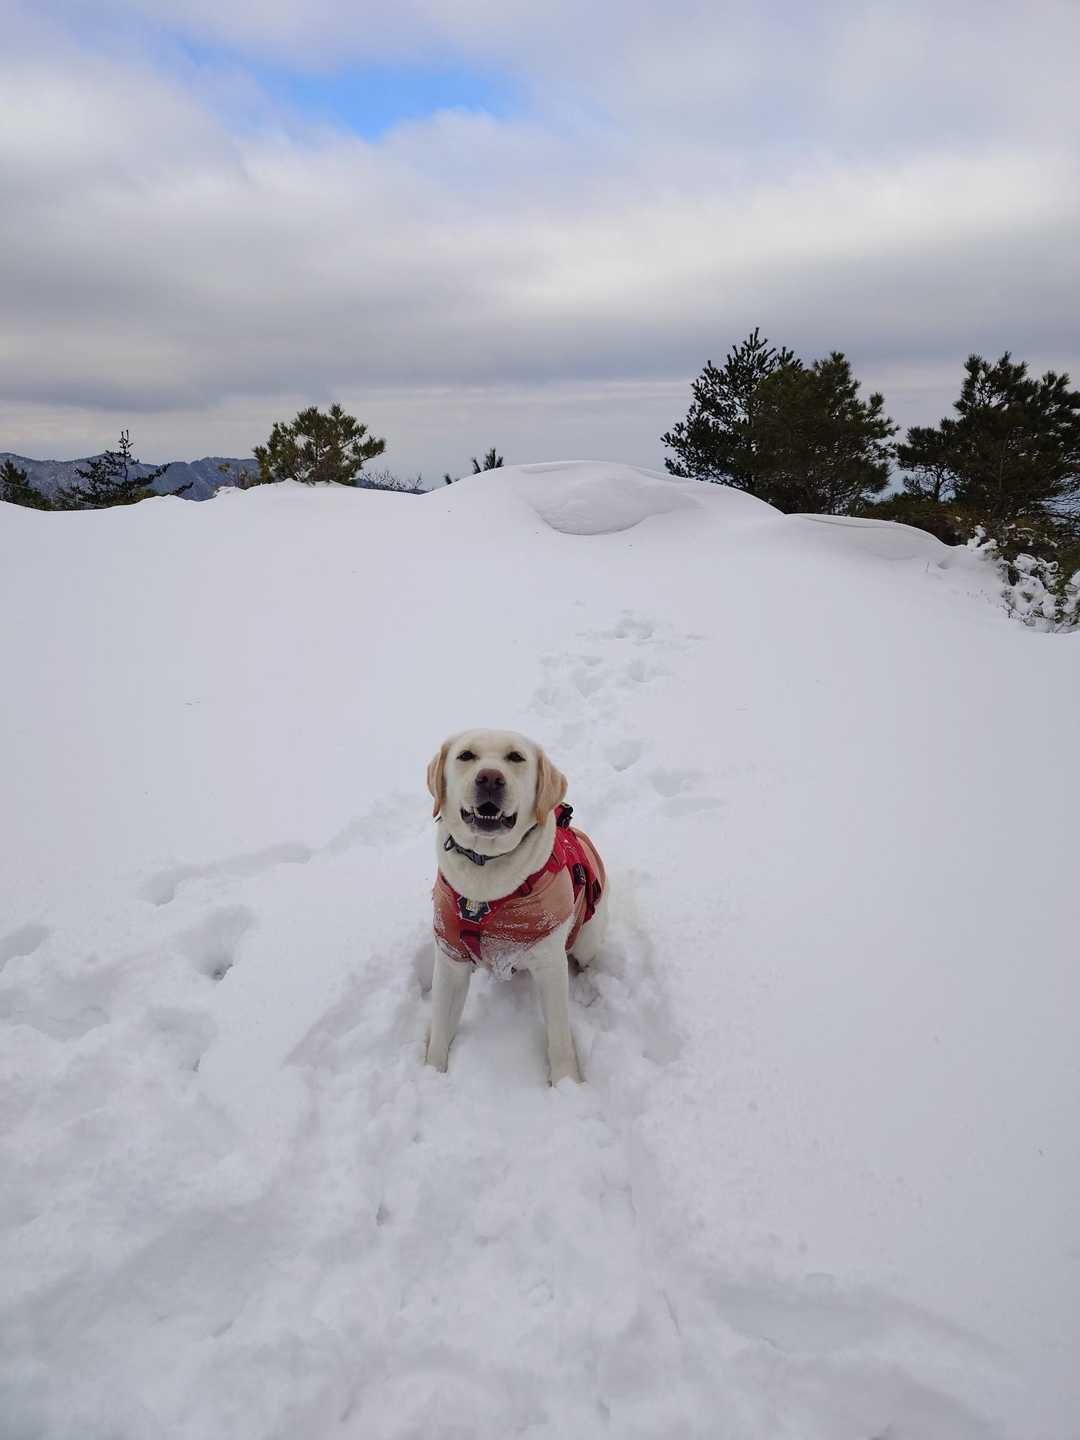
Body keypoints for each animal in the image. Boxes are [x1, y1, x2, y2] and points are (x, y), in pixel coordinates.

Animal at [425, 728, 608, 1084]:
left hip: (589, 939)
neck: (486, 872)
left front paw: (566, 1083)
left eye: (516, 757)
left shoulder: (550, 965)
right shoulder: (450, 957)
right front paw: (430, 1072)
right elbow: (439, 1026)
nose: (490, 778)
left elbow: (559, 1036)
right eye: (465, 756)